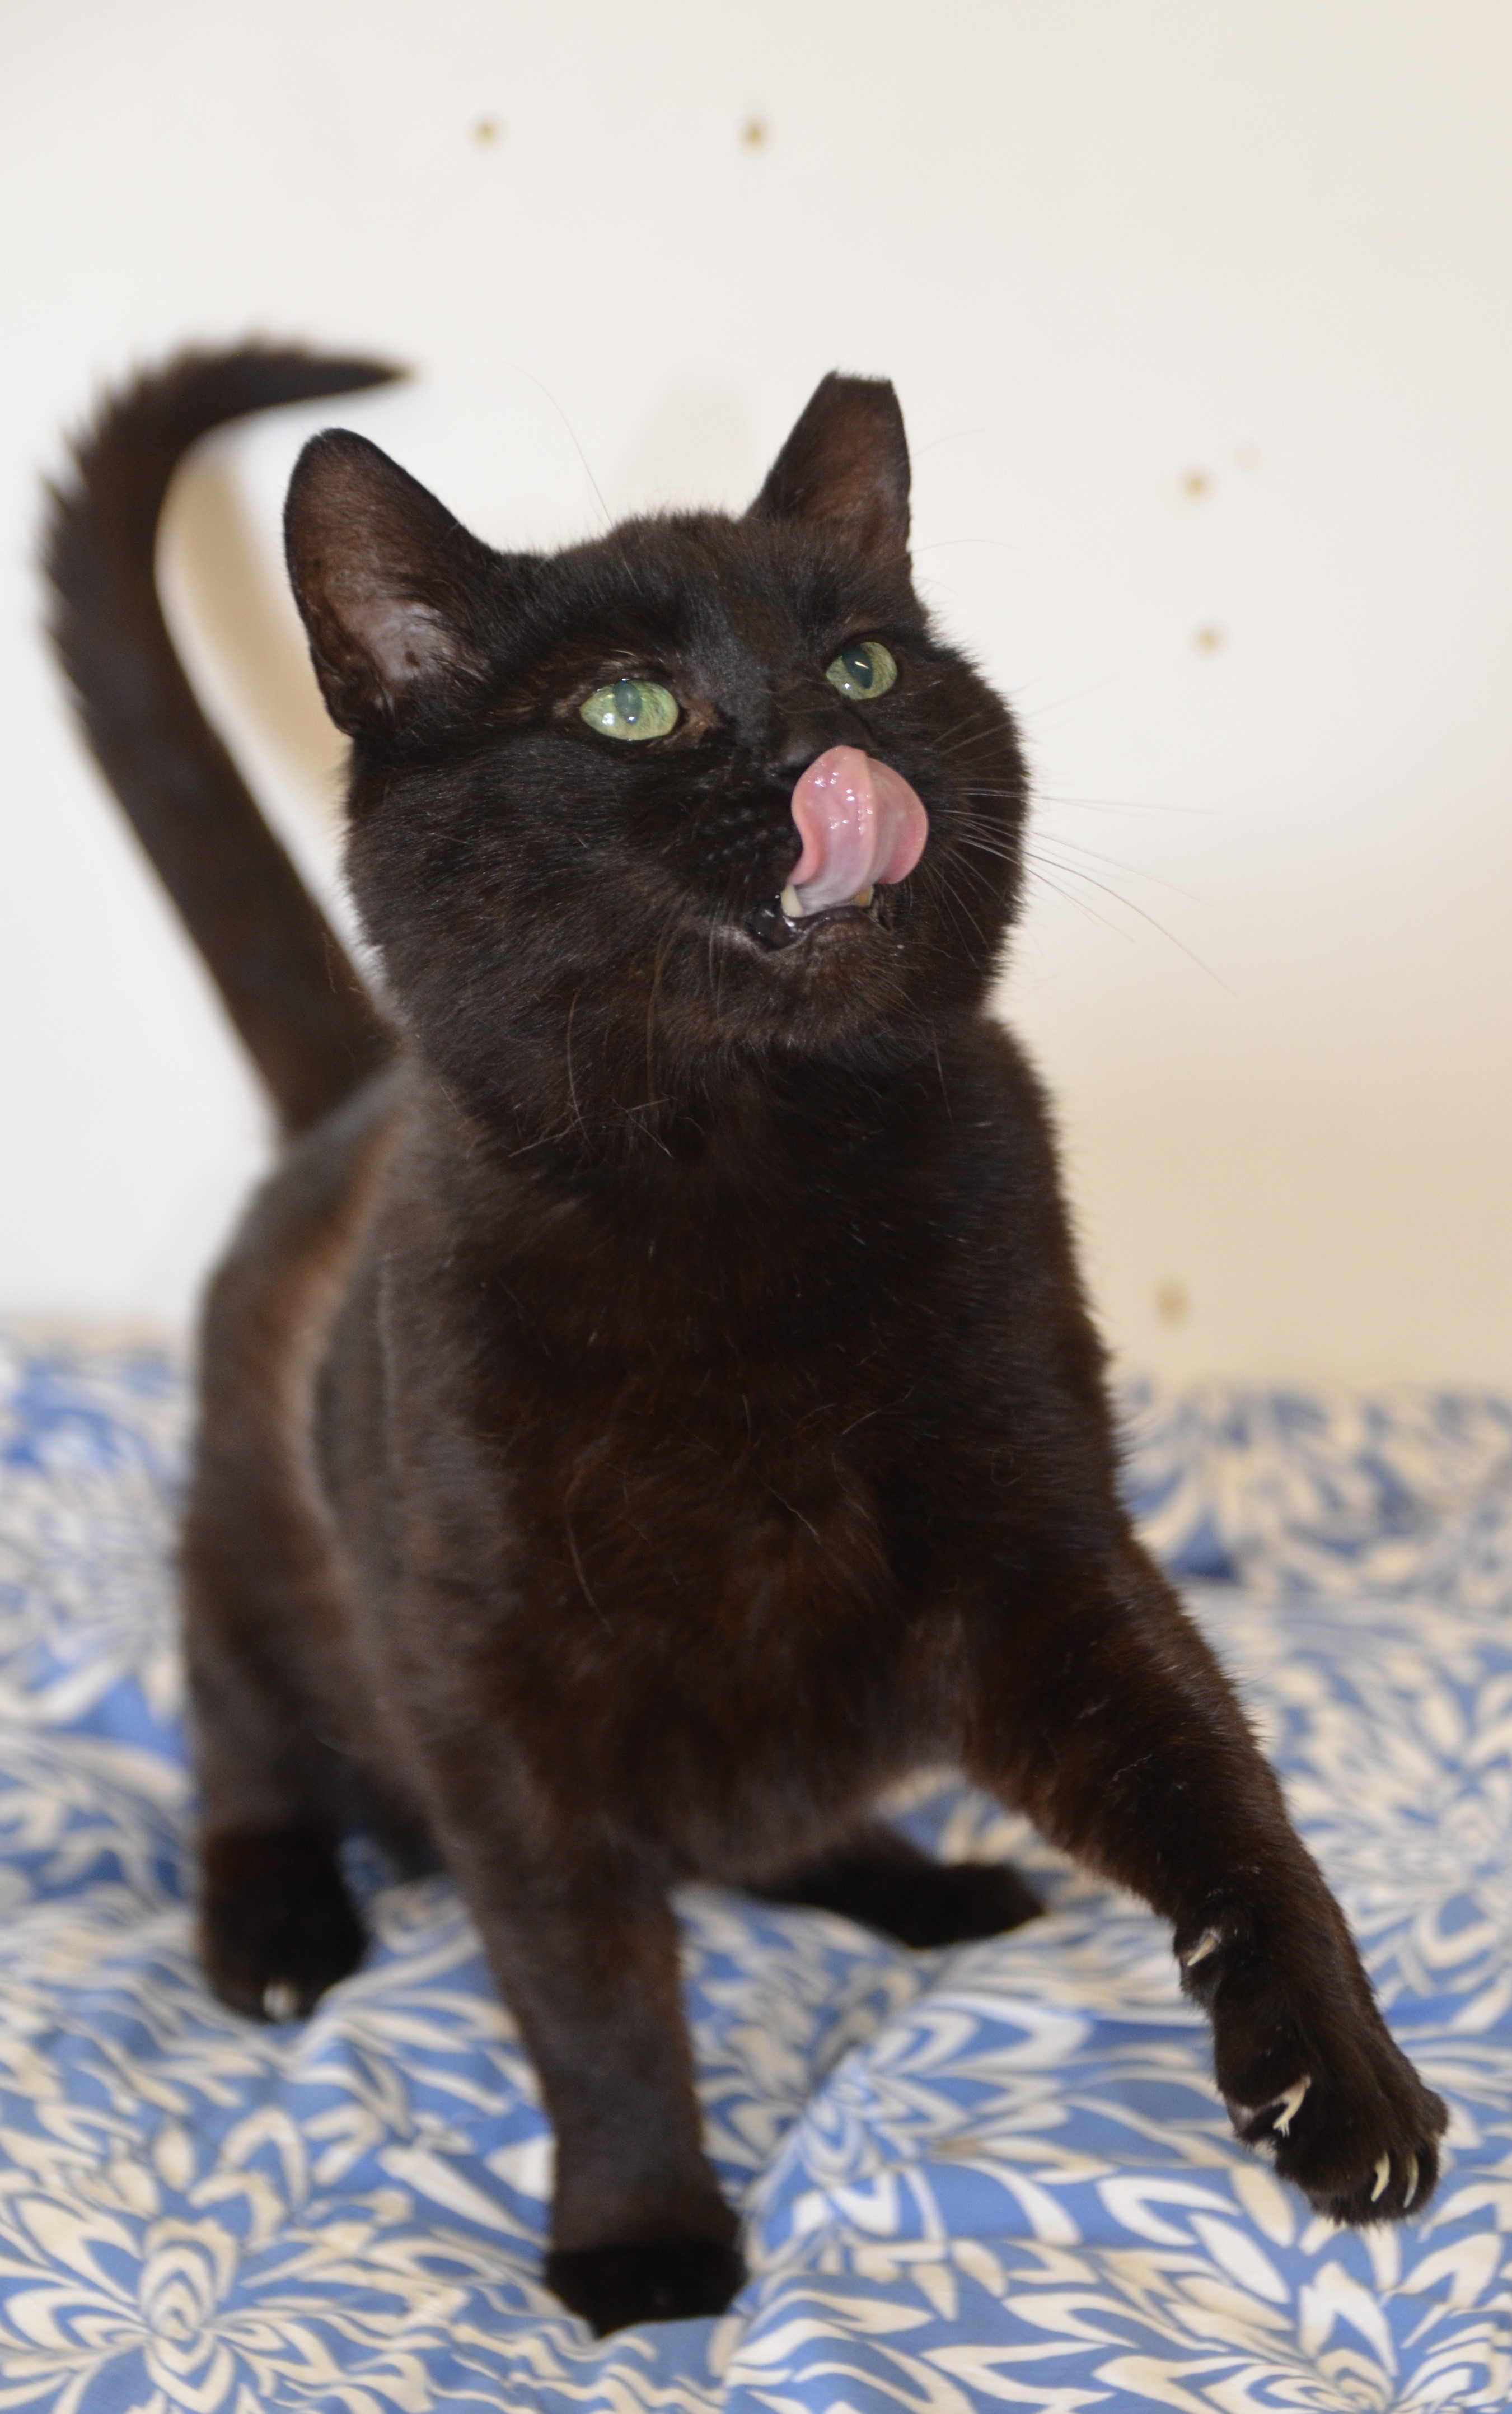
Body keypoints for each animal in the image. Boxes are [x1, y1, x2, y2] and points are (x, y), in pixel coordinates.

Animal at [46, 347, 1446, 2337]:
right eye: (631, 707)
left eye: (860, 664)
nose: (817, 754)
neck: (746, 1180)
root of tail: (343, 1102)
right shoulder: (487, 1674)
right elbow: (589, 1982)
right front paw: (641, 2236)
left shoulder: (1041, 1553)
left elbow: (1221, 1787)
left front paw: (1339, 2073)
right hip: (251, 1527)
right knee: (243, 1733)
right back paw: (278, 1926)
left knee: (771, 1809)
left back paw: (920, 1885)